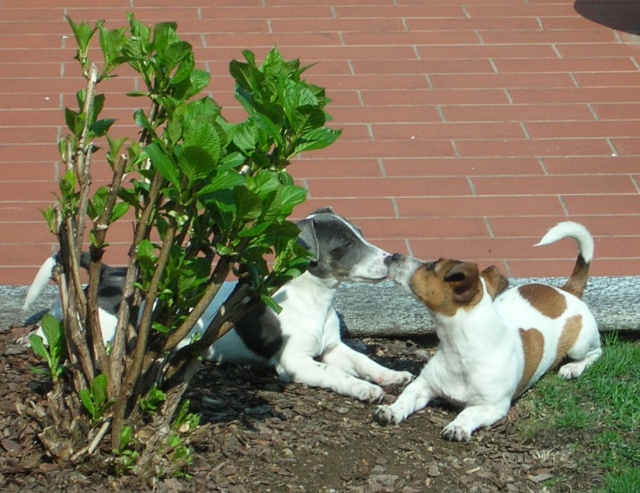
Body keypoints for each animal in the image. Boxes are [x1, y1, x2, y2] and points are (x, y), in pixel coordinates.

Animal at [22, 206, 412, 402]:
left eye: (360, 234)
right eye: (345, 245)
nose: (391, 258)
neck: (315, 299)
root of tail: (109, 273)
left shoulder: (332, 347)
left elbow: (361, 360)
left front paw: (390, 376)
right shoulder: (295, 362)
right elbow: (336, 374)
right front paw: (364, 389)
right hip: (104, 331)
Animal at [372, 221, 604, 440]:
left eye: (430, 267)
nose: (393, 255)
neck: (460, 351)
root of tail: (568, 290)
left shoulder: (493, 407)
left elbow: (468, 412)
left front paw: (457, 426)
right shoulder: (423, 385)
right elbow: (406, 396)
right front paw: (391, 410)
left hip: (580, 345)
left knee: (596, 353)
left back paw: (572, 368)